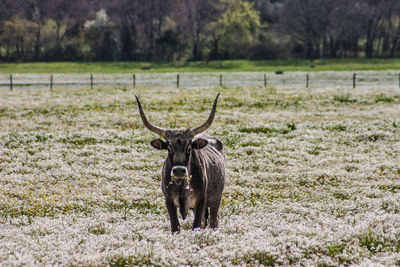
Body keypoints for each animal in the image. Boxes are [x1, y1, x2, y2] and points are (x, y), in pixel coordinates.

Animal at [136, 93, 225, 232]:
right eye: (169, 147)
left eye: (189, 147)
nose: (179, 170)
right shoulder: (169, 201)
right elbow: (175, 226)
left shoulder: (201, 201)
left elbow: (196, 225)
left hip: (215, 200)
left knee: (213, 221)